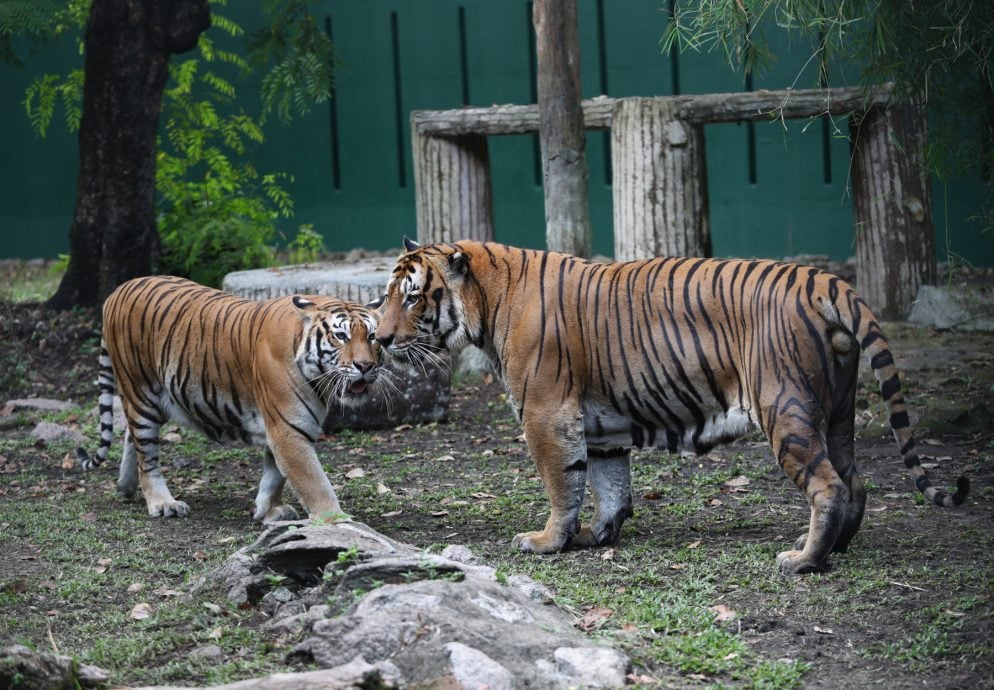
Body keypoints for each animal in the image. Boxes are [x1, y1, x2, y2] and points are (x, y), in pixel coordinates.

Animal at [79, 274, 390, 520]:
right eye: (341, 336)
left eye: (372, 337)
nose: (365, 366)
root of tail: (118, 291)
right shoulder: (288, 429)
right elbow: (313, 481)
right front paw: (336, 521)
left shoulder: (282, 427)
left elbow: (274, 475)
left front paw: (268, 510)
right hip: (141, 390)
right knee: (147, 453)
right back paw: (162, 503)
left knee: (130, 435)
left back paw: (125, 486)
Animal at [374, 239, 968, 572]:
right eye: (384, 296)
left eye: (412, 296)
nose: (379, 339)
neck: (488, 300)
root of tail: (823, 277)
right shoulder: (600, 427)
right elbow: (609, 488)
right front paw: (595, 537)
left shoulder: (546, 413)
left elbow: (563, 485)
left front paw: (546, 541)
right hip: (838, 411)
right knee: (856, 480)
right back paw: (834, 548)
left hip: (785, 407)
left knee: (829, 485)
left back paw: (803, 561)